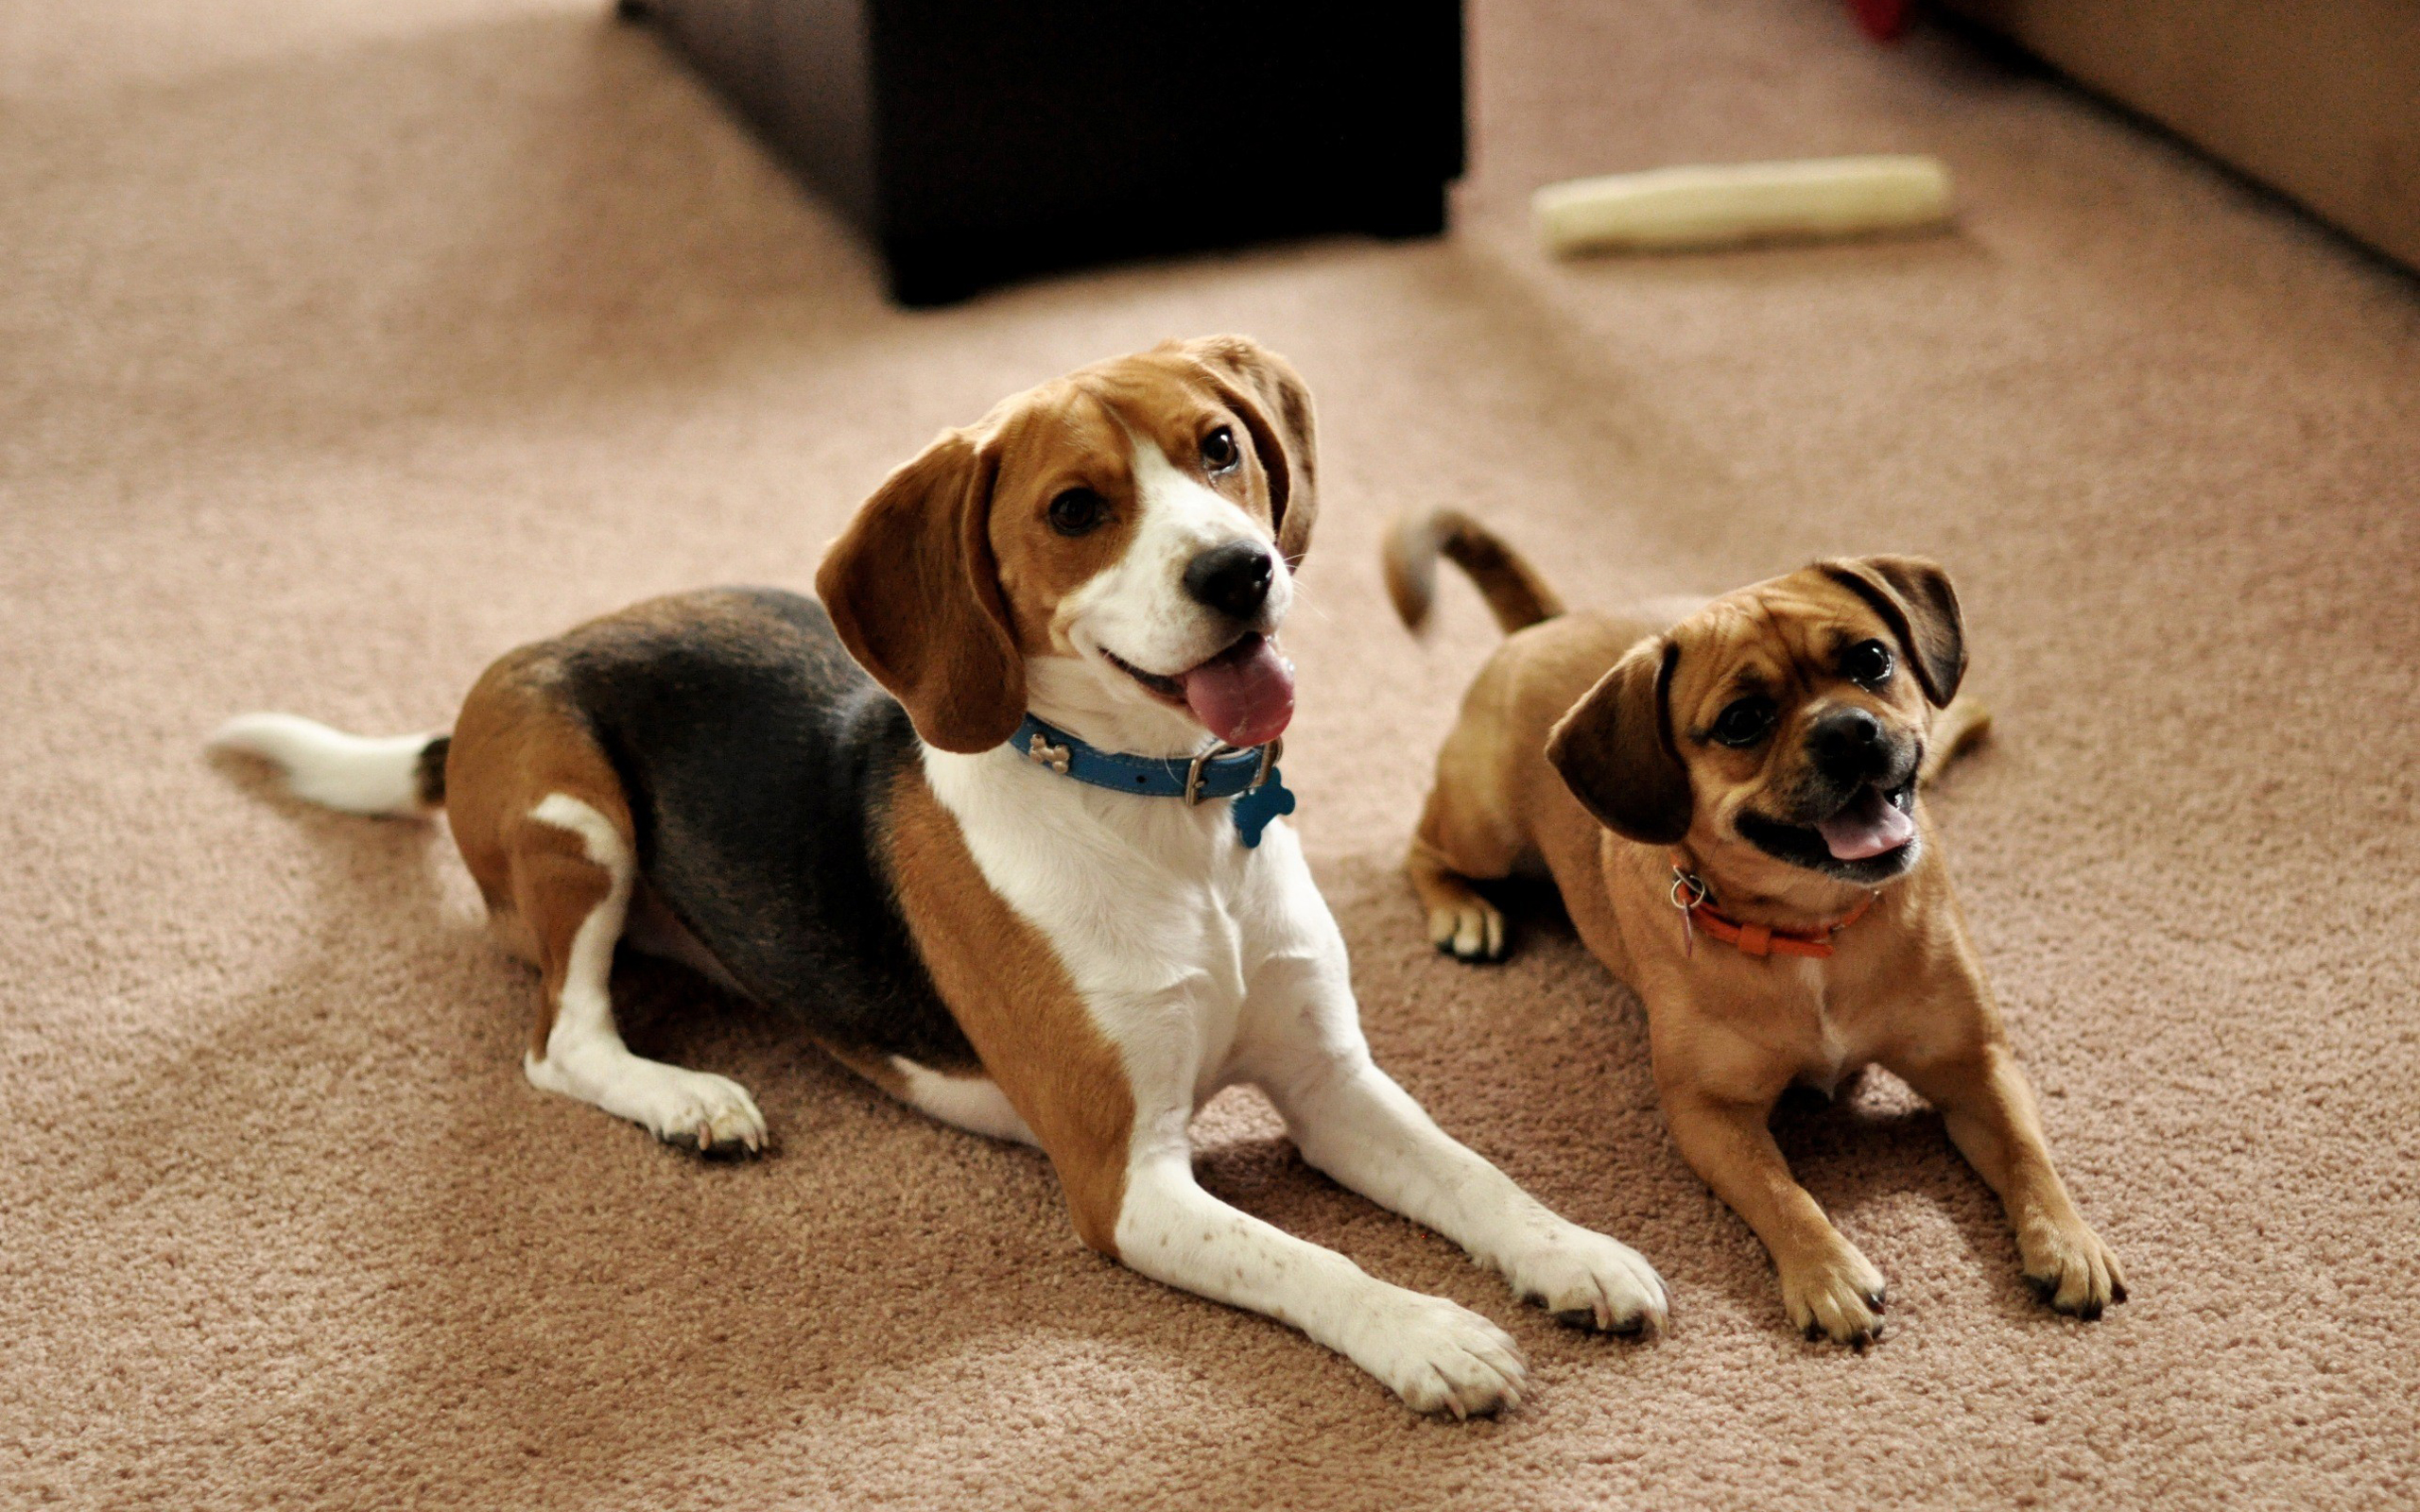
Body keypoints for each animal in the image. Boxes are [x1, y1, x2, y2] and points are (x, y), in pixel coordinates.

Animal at [217, 335, 1665, 1413]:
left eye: (1220, 447)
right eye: (1076, 511)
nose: (1239, 568)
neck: (1168, 819)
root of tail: (517, 665)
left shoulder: (1332, 1086)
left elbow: (1478, 1177)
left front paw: (1575, 1252)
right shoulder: (1127, 1181)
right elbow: (1312, 1263)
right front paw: (1431, 1334)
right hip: (578, 821)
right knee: (560, 1041)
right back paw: (689, 1097)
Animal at [1393, 510, 2129, 1345]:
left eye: (1872, 659)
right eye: (1742, 722)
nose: (1847, 730)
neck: (1817, 926)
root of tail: (1546, 622)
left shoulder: (1973, 1063)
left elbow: (2028, 1154)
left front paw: (2066, 1241)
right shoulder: (1709, 1113)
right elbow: (1781, 1192)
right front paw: (1828, 1272)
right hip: (1486, 830)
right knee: (1420, 848)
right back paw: (1463, 911)